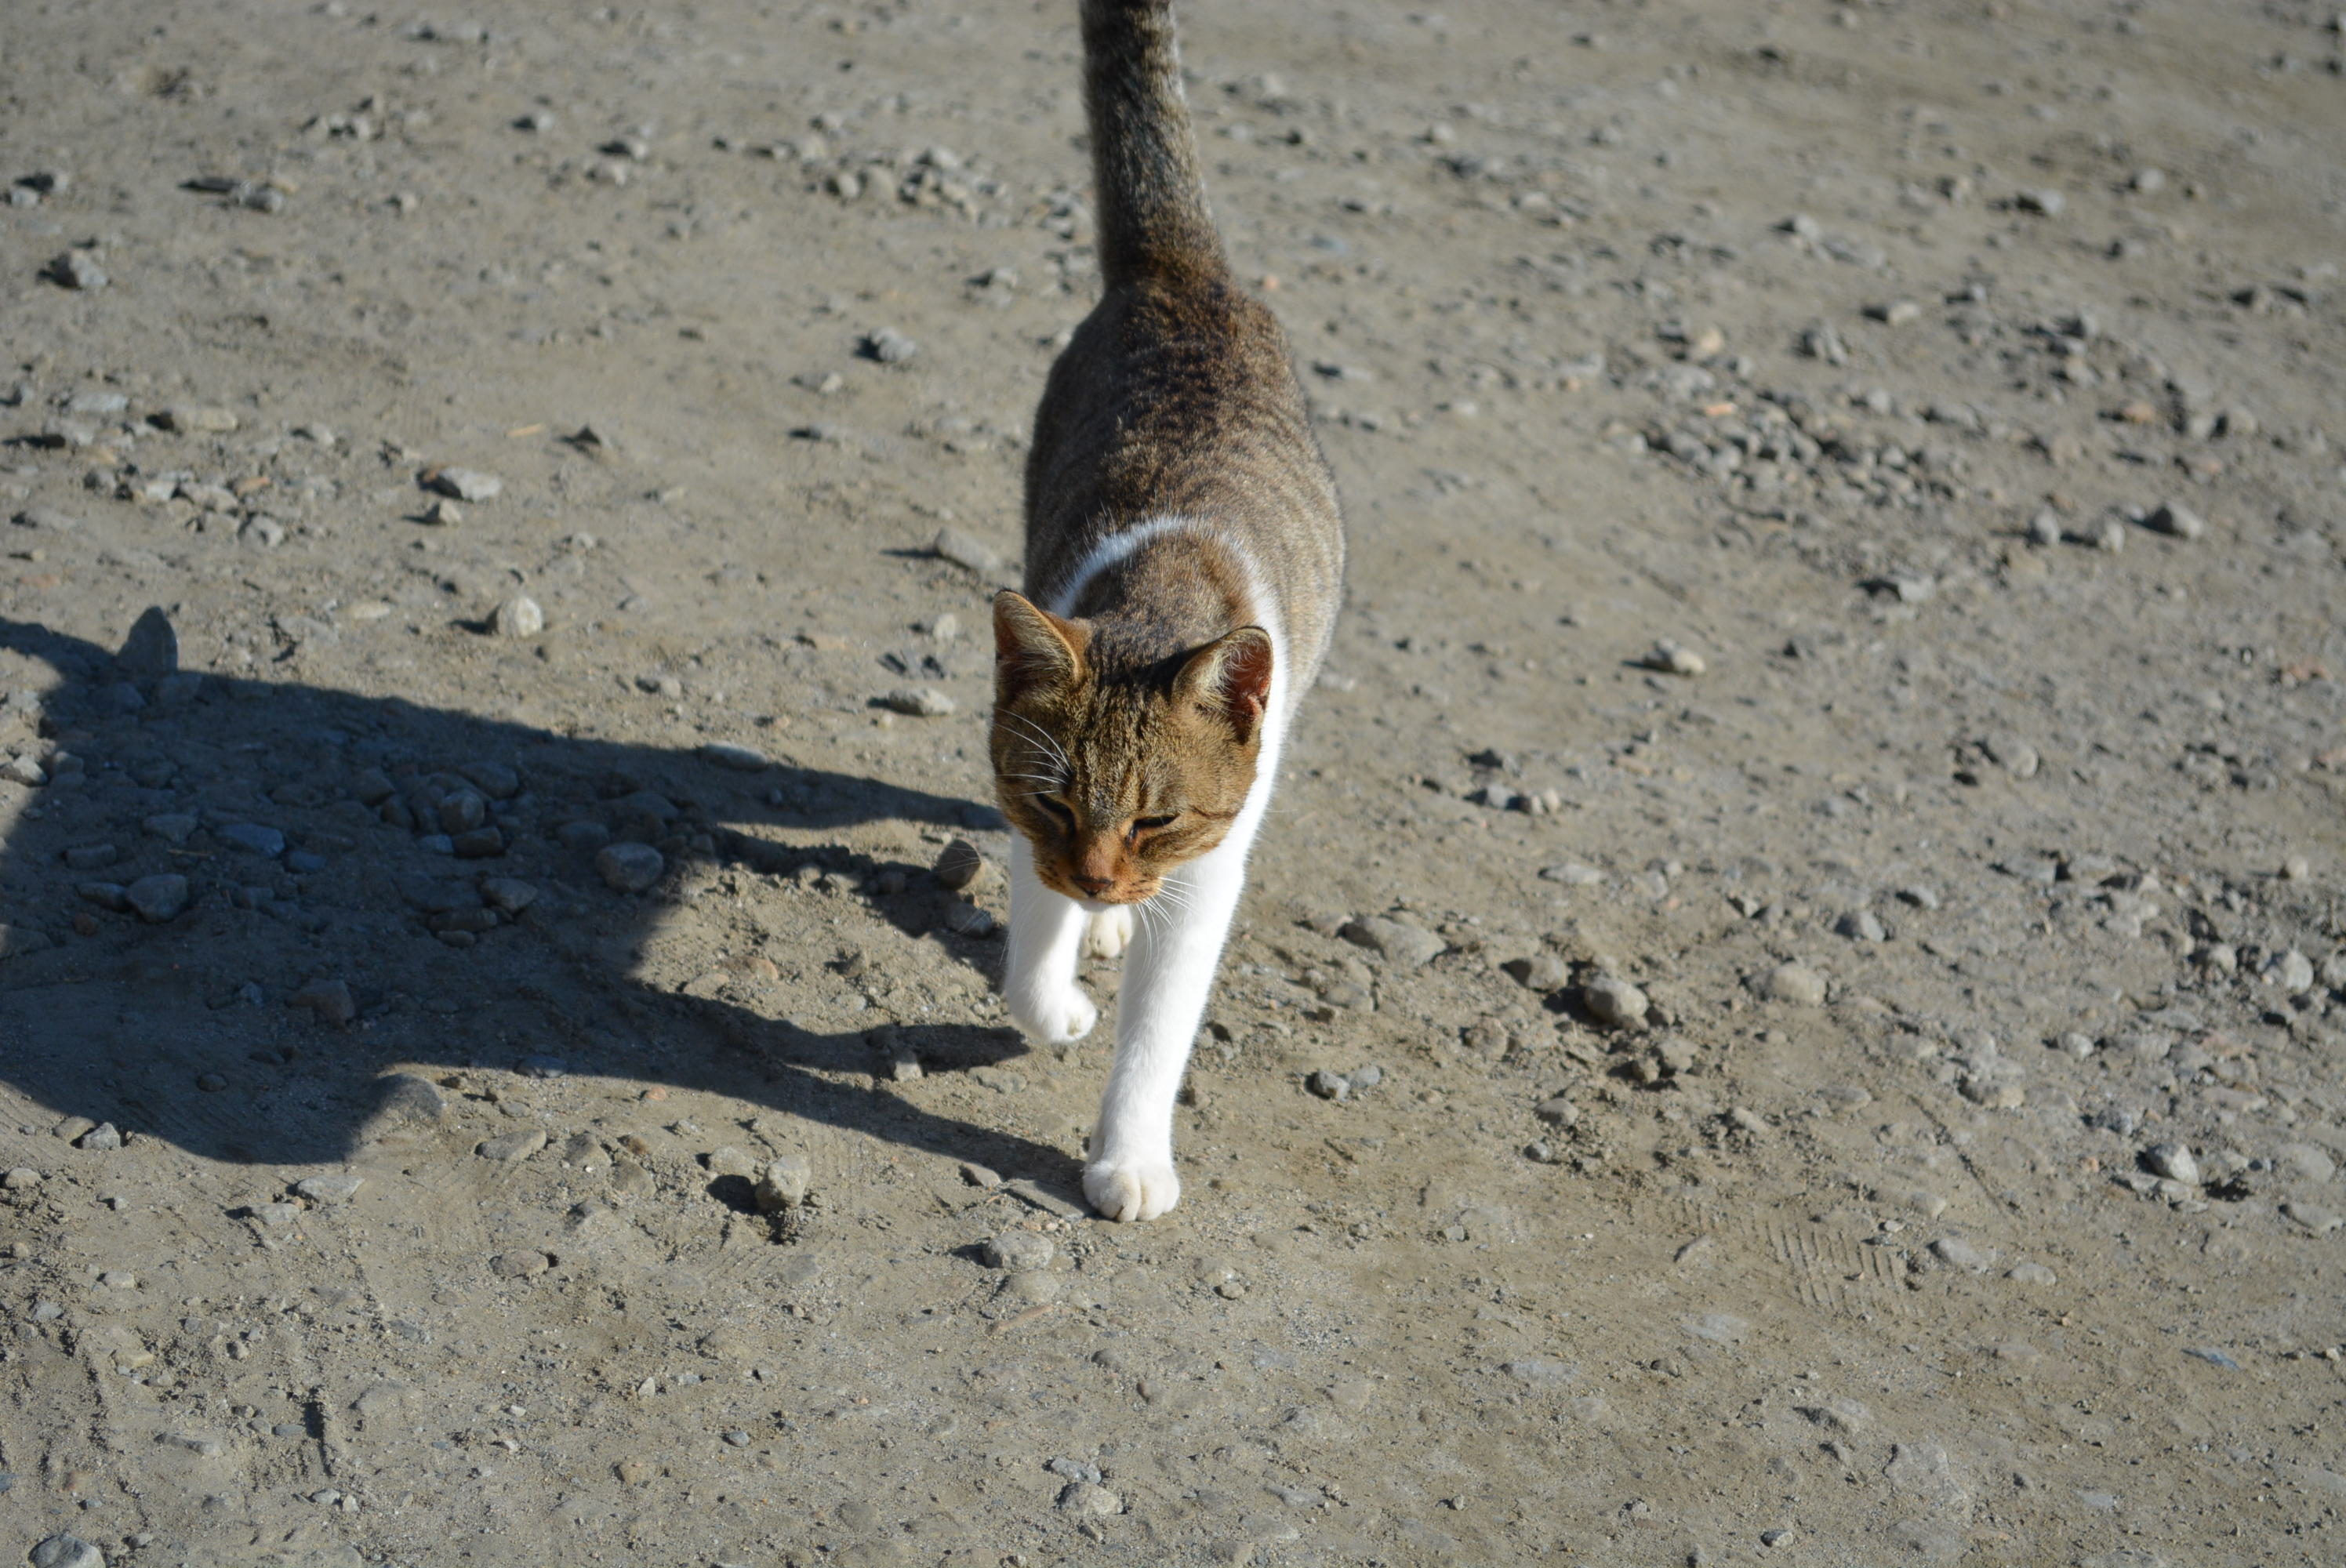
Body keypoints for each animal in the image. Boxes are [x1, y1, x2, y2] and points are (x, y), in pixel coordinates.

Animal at [990, 0, 1351, 1220]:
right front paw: (1056, 991)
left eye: (1157, 818)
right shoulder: (1027, 811)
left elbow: (1158, 1032)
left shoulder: (1206, 869)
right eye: (1060, 805)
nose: (1103, 873)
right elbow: (1029, 950)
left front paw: (1130, 1157)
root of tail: (1182, 271)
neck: (1163, 590)